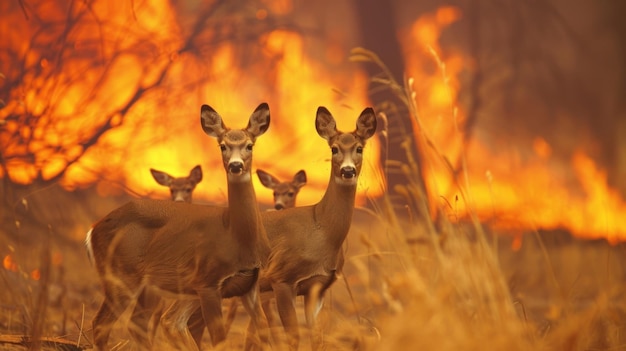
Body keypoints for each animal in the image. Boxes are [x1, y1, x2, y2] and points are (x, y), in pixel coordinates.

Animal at [84, 103, 270, 350]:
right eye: (222, 146)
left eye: (250, 145)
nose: (236, 166)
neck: (237, 237)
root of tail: (93, 230)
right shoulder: (208, 282)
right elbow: (219, 339)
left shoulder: (249, 284)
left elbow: (264, 329)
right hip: (120, 276)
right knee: (102, 323)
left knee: (147, 322)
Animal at [163, 106, 372, 350]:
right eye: (334, 148)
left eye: (359, 148)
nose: (348, 171)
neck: (320, 229)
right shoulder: (281, 278)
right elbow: (292, 336)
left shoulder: (316, 288)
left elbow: (317, 338)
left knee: (173, 321)